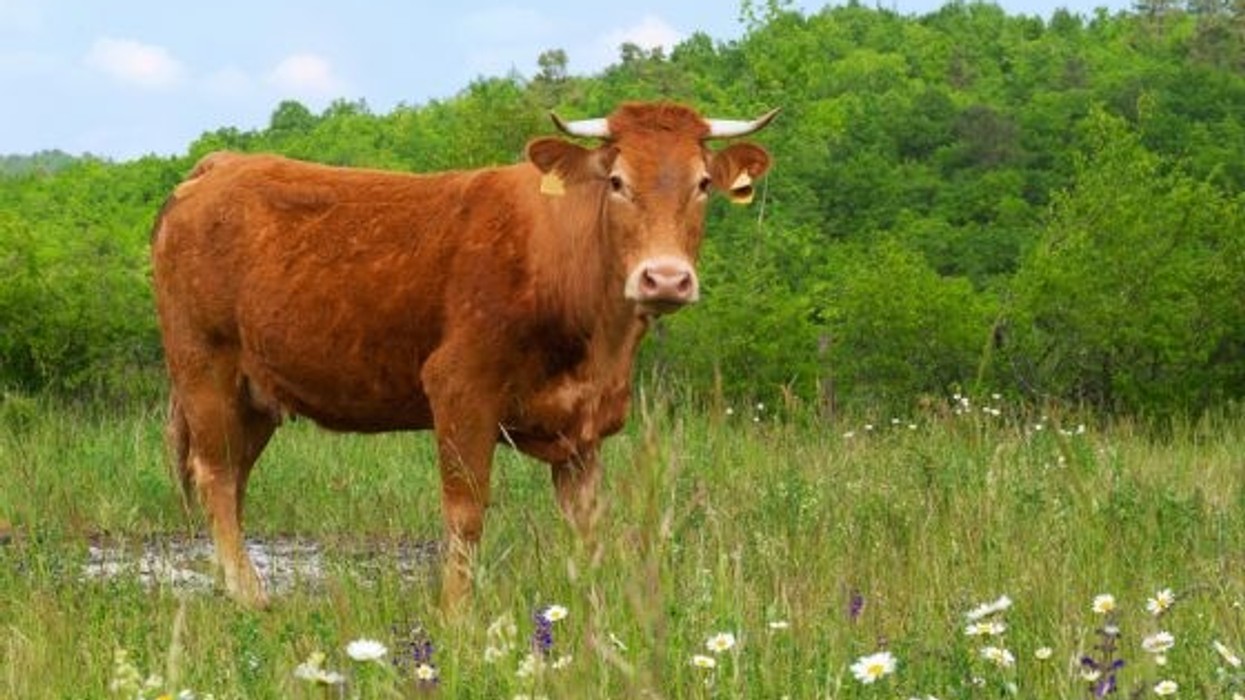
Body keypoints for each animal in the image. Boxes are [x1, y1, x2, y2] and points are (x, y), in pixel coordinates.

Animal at [150, 101, 776, 608]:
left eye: (702, 183)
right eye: (617, 181)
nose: (665, 278)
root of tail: (222, 165)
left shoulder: (584, 425)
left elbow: (586, 525)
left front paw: (590, 612)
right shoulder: (460, 389)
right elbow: (466, 512)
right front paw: (456, 616)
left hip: (255, 393)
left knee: (235, 477)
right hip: (203, 366)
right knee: (215, 474)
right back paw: (247, 593)